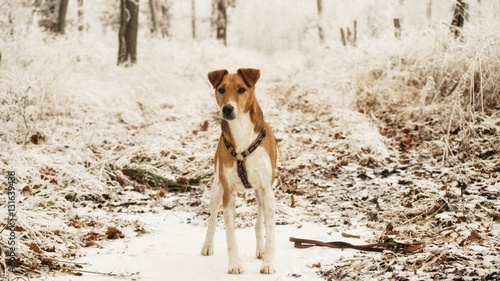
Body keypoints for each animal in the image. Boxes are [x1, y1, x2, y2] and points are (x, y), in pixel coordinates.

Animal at [199, 68, 278, 274]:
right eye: (221, 89)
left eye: (242, 89)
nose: (227, 108)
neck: (242, 133)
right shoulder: (229, 192)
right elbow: (230, 234)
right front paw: (235, 264)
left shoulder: (267, 189)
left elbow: (270, 231)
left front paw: (268, 263)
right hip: (217, 187)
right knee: (212, 218)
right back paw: (207, 245)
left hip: (260, 192)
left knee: (259, 222)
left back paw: (260, 249)